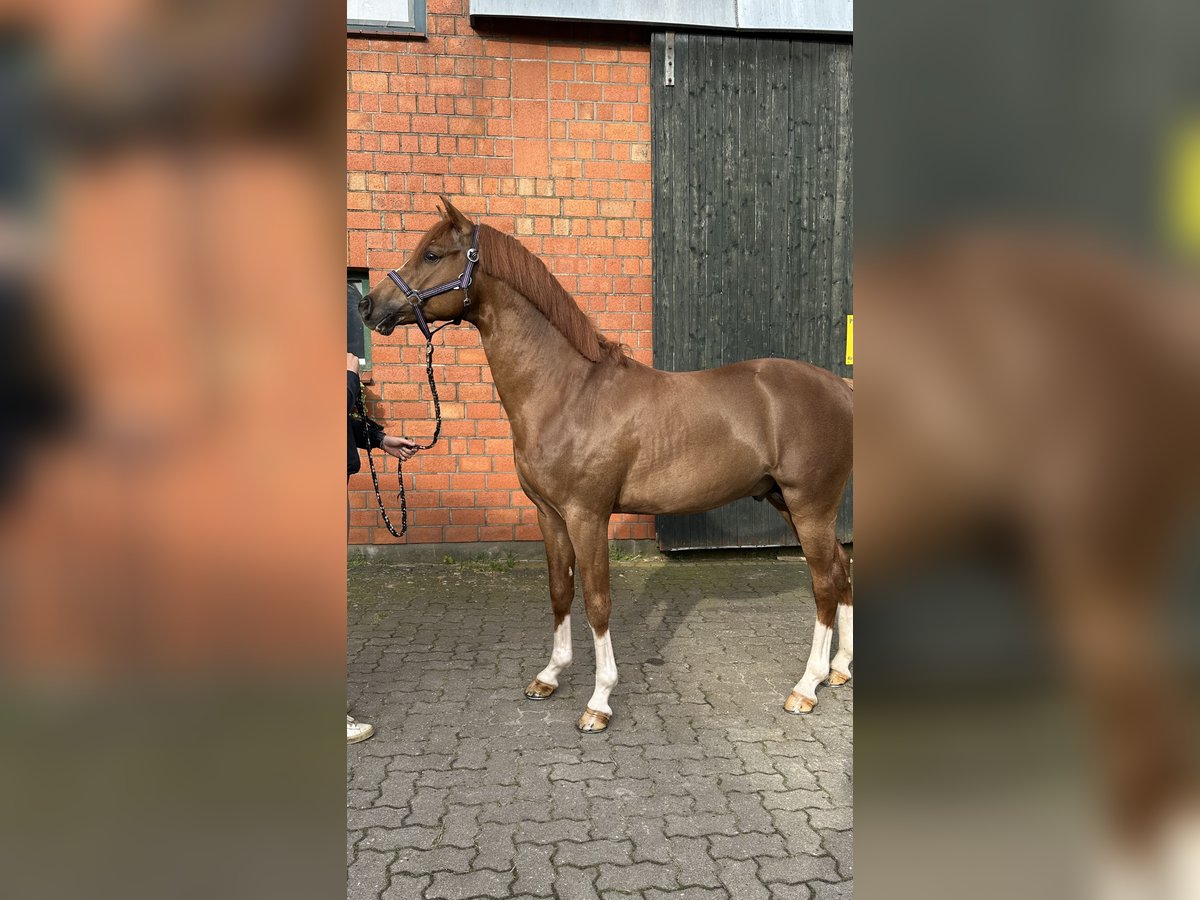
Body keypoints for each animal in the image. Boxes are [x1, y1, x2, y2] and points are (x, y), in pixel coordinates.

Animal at [355, 196, 854, 734]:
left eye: (432, 254)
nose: (367, 305)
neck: (568, 391)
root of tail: (840, 387)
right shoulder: (549, 515)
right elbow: (560, 590)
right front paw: (549, 675)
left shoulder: (587, 516)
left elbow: (597, 601)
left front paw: (599, 699)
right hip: (788, 502)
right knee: (841, 572)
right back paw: (840, 670)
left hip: (810, 506)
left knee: (824, 585)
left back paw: (806, 687)